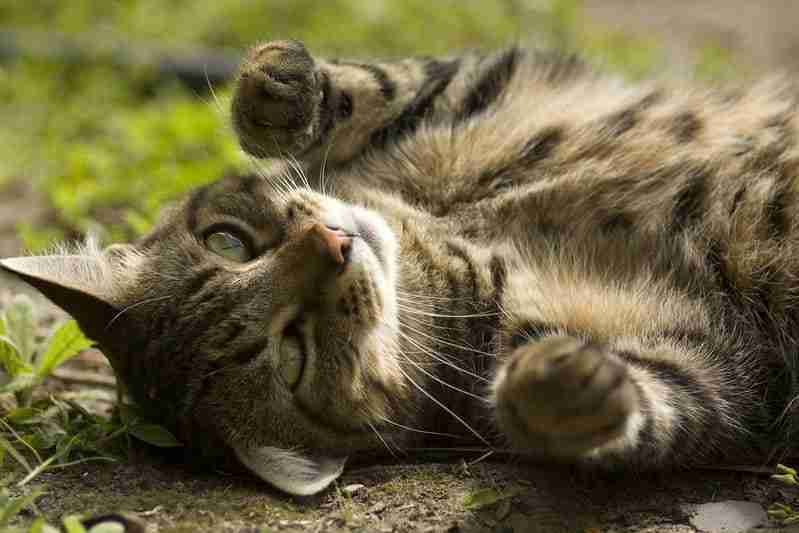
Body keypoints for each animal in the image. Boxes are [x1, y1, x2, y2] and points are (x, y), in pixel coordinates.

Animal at [3, 38, 796, 494]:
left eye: (228, 242)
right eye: (293, 353)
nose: (331, 244)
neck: (445, 229)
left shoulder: (481, 82)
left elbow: (382, 82)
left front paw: (276, 85)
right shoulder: (713, 360)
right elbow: (658, 402)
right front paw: (556, 386)